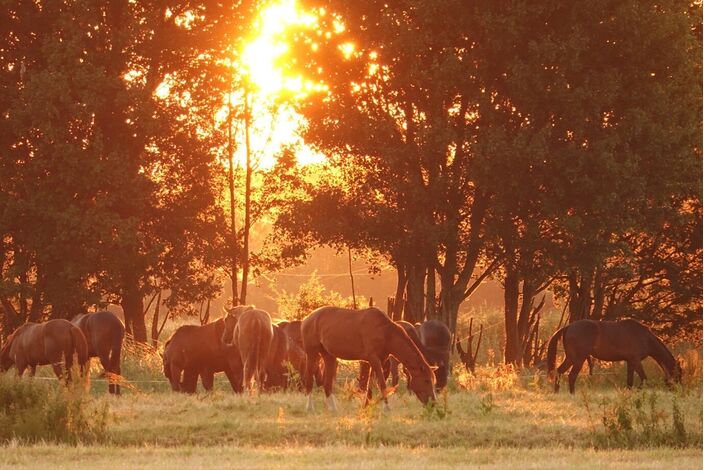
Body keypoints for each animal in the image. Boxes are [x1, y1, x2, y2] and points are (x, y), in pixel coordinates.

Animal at [302, 304, 434, 412]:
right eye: (426, 380)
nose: (433, 403)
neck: (385, 332)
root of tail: (307, 318)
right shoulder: (374, 359)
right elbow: (382, 384)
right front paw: (387, 408)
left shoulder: (378, 361)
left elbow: (370, 386)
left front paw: (366, 406)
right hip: (312, 354)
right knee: (309, 380)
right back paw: (309, 408)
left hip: (329, 357)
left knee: (327, 384)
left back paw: (333, 409)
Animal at [544, 320, 680, 392]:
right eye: (678, 375)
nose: (678, 391)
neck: (645, 337)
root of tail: (568, 327)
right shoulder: (636, 360)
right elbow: (644, 378)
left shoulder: (630, 361)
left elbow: (630, 381)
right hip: (578, 359)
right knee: (571, 376)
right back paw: (572, 394)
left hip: (571, 358)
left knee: (559, 371)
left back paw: (557, 392)